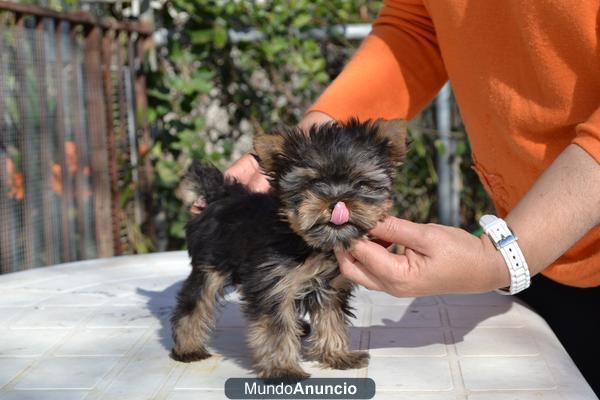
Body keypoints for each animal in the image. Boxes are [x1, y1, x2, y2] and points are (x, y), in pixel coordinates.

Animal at [170, 118, 408, 378]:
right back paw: (188, 346)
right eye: (313, 184)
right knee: (195, 302)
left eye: (361, 184)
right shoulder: (273, 284)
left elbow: (331, 318)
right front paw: (282, 368)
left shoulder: (329, 287)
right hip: (210, 262)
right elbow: (276, 328)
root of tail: (220, 195)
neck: (306, 242)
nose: (338, 202)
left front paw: (337, 355)